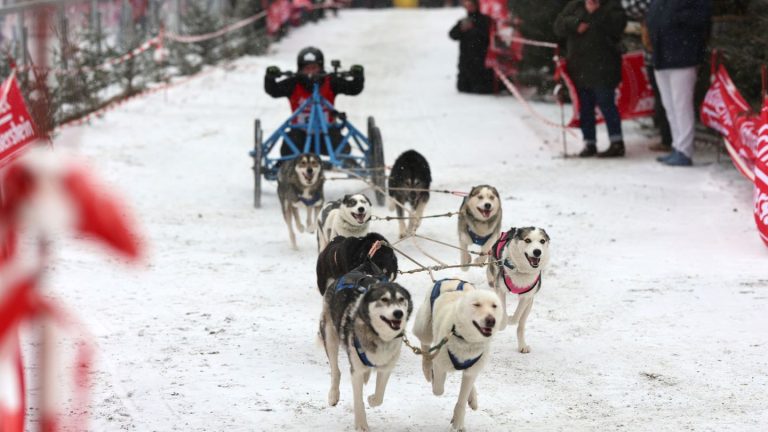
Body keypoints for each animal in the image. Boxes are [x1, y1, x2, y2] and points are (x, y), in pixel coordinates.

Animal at [414, 278, 504, 430]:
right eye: (477, 304)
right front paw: (432, 375)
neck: (465, 339)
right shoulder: (440, 365)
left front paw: (458, 422)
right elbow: (438, 389)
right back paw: (427, 367)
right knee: (425, 346)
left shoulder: (472, 368)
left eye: (494, 306)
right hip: (424, 327)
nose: (491, 320)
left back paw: (472, 398)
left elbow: (462, 399)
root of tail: (453, 279)